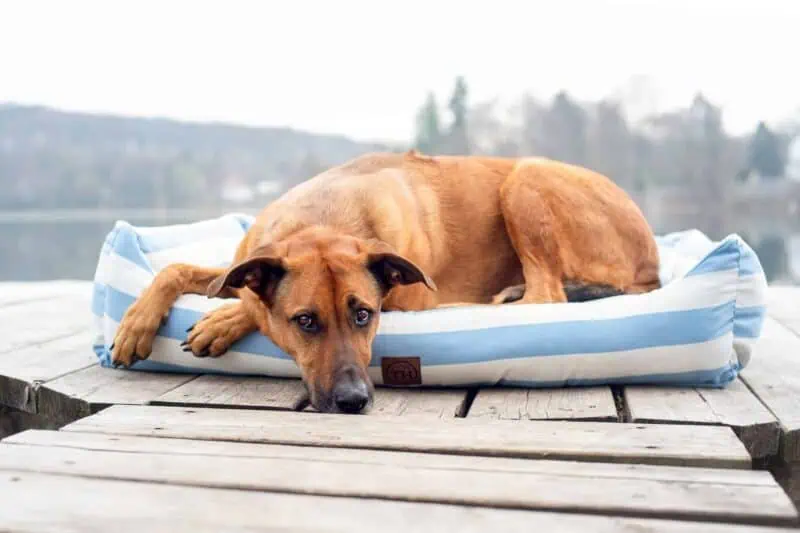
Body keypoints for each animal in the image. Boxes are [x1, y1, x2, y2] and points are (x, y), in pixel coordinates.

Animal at [112, 152, 664, 414]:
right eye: (305, 322)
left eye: (365, 315)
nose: (354, 400)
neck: (324, 216)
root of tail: (653, 265)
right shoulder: (245, 263)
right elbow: (179, 269)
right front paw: (135, 323)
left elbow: (249, 302)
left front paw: (224, 320)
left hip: (526, 179)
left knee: (548, 295)